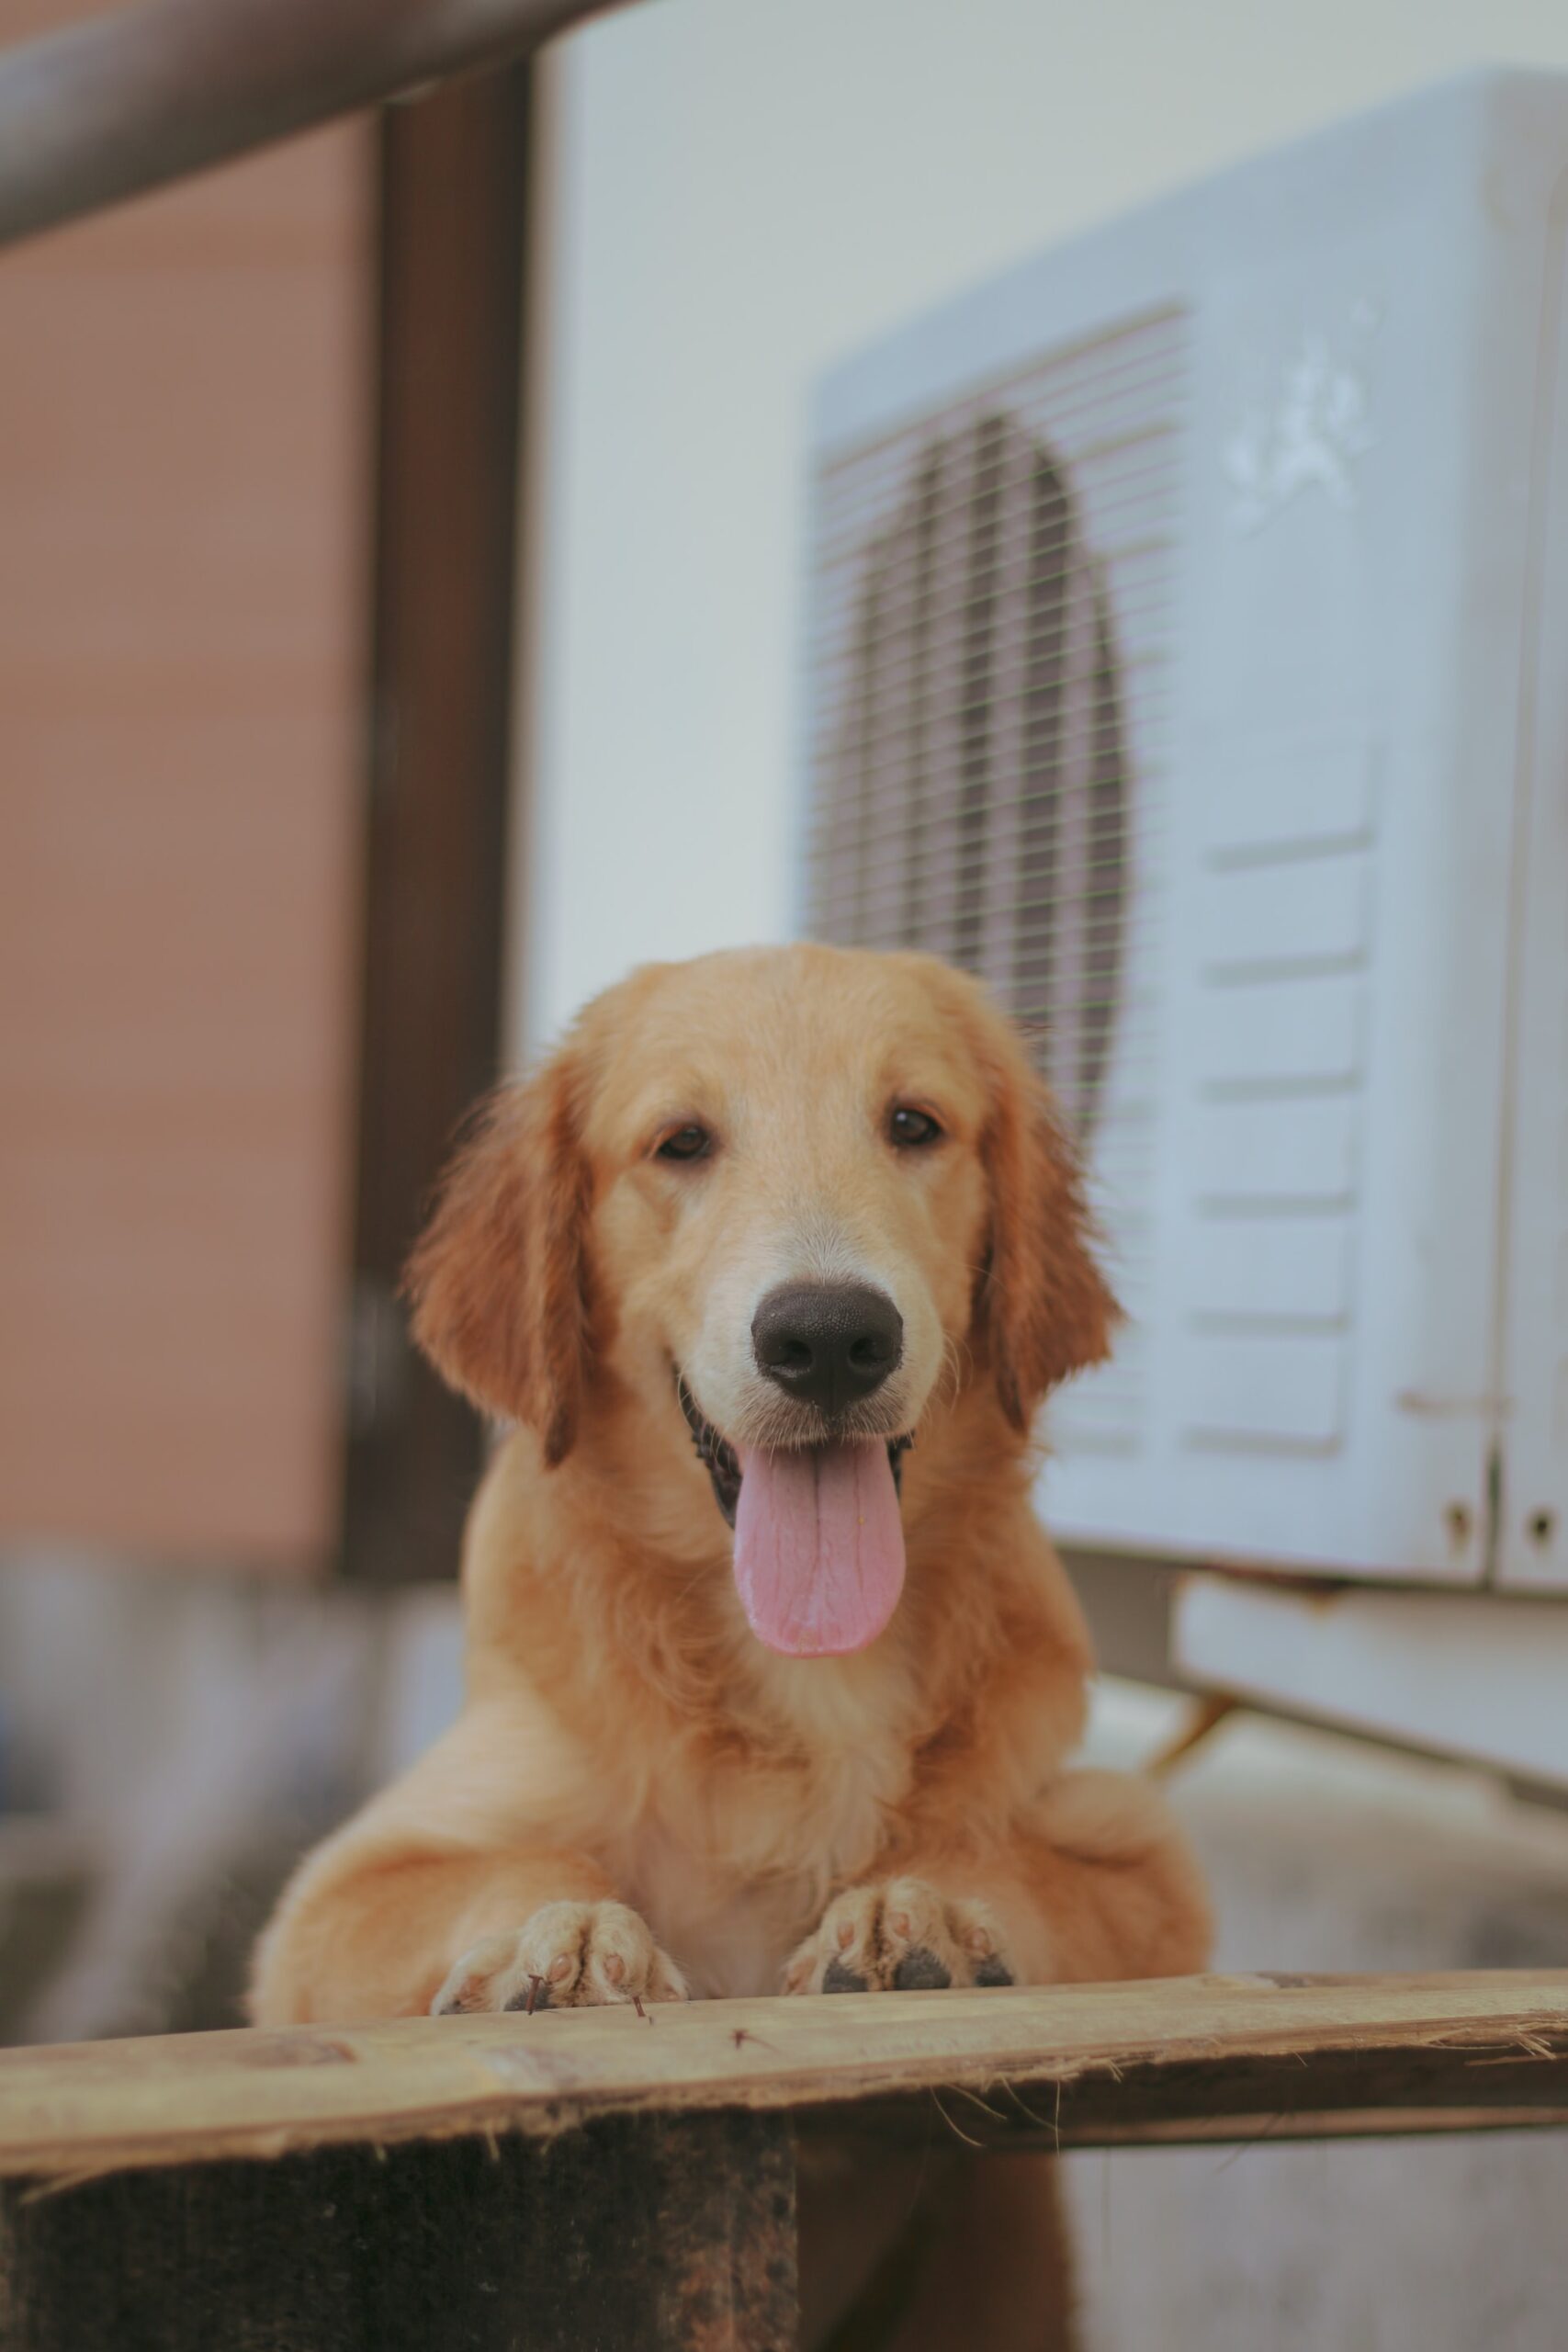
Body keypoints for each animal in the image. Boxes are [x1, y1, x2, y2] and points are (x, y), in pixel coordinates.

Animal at [251, 945, 1213, 2342]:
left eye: (912, 1123)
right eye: (682, 1142)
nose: (827, 1338)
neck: (807, 1670)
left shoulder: (1141, 1853)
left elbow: (1011, 1862)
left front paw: (914, 1910)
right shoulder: (332, 1903)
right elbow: (519, 1861)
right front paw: (563, 1939)